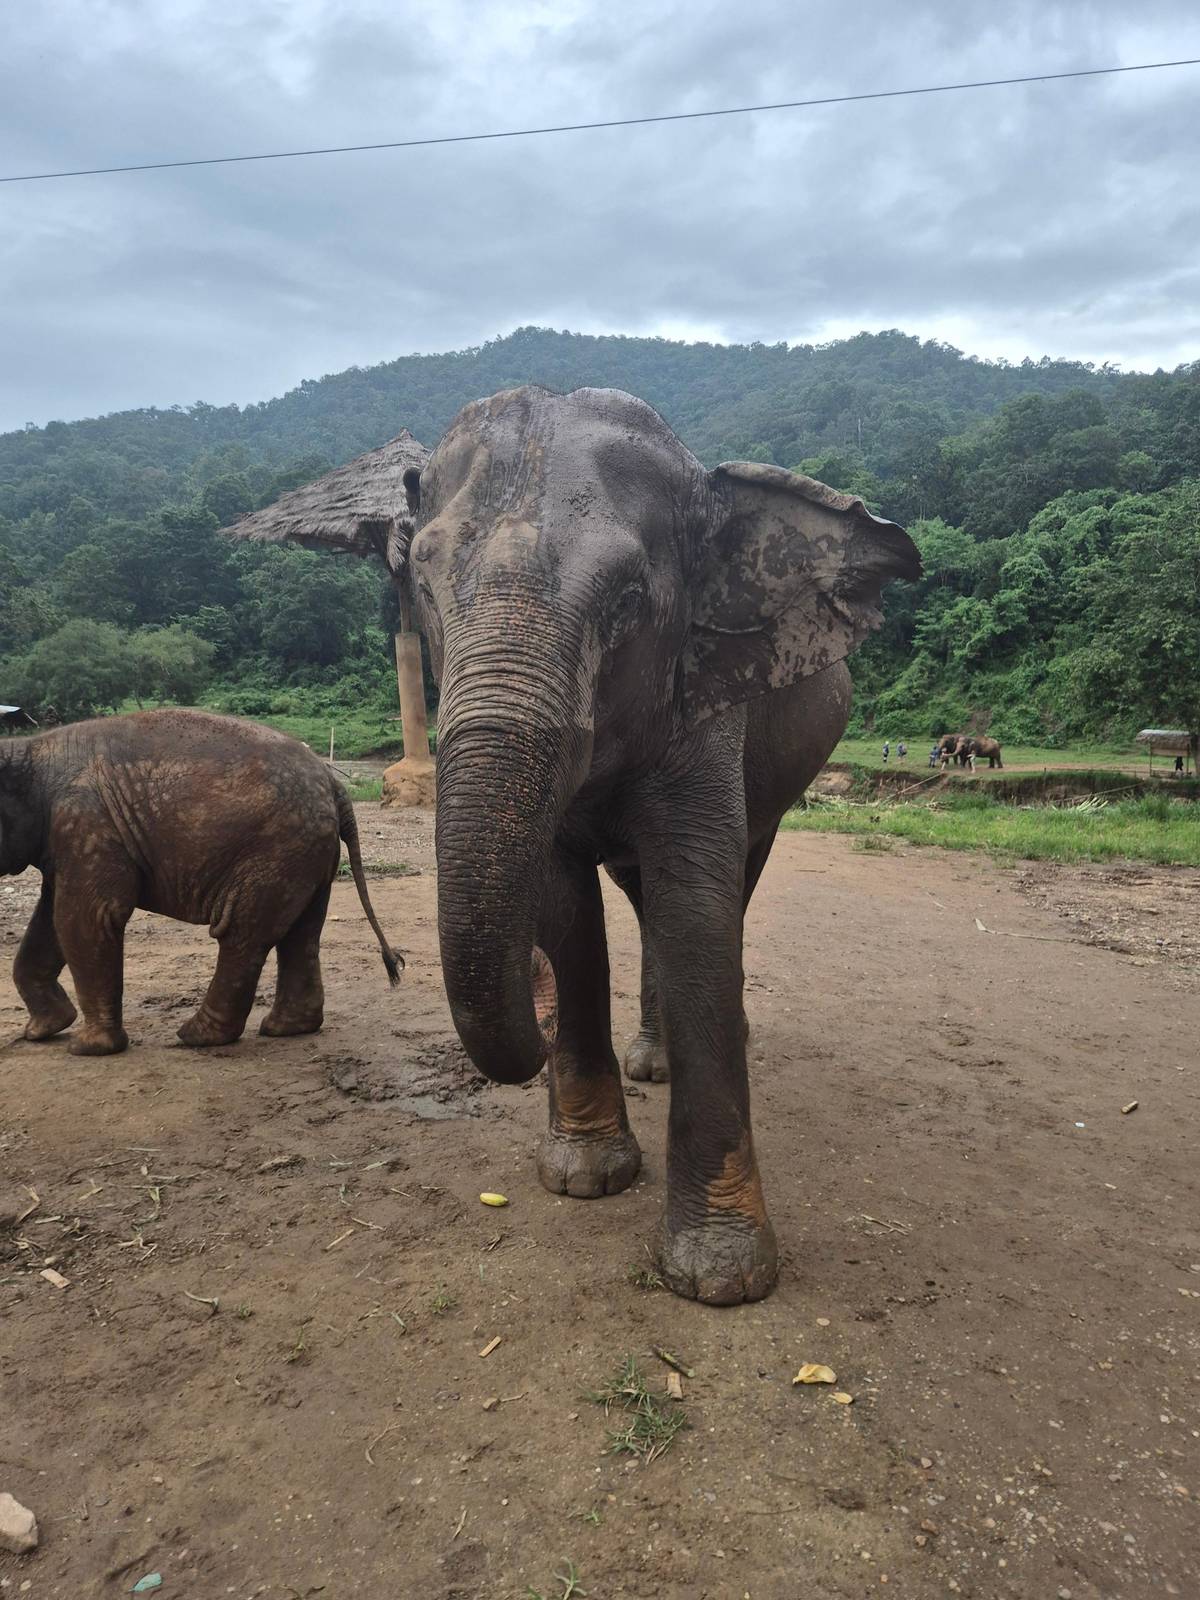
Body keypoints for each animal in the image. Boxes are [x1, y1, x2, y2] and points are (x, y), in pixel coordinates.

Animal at [0, 709, 400, 1056]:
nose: (41, 1031)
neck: (30, 751)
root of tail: (334, 783)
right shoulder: (66, 838)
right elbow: (52, 919)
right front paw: (43, 1030)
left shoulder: (86, 821)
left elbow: (88, 917)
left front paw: (87, 1048)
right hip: (308, 851)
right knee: (301, 933)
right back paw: (285, 1029)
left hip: (278, 848)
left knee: (242, 932)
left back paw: (195, 1037)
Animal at [398, 385, 919, 1304]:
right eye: (421, 582)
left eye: (628, 602)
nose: (532, 1031)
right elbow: (568, 908)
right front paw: (583, 1176)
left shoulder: (708, 701)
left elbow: (697, 900)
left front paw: (722, 1276)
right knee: (641, 901)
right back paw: (652, 1061)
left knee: (728, 886)